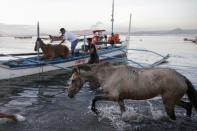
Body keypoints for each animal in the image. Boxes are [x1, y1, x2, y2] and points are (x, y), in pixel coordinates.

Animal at [66, 61, 197, 119]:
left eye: (73, 80)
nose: (69, 95)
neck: (109, 74)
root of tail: (182, 77)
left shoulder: (113, 96)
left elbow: (95, 98)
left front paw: (95, 111)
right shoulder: (120, 99)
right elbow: (123, 112)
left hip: (169, 102)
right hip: (172, 100)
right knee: (188, 106)